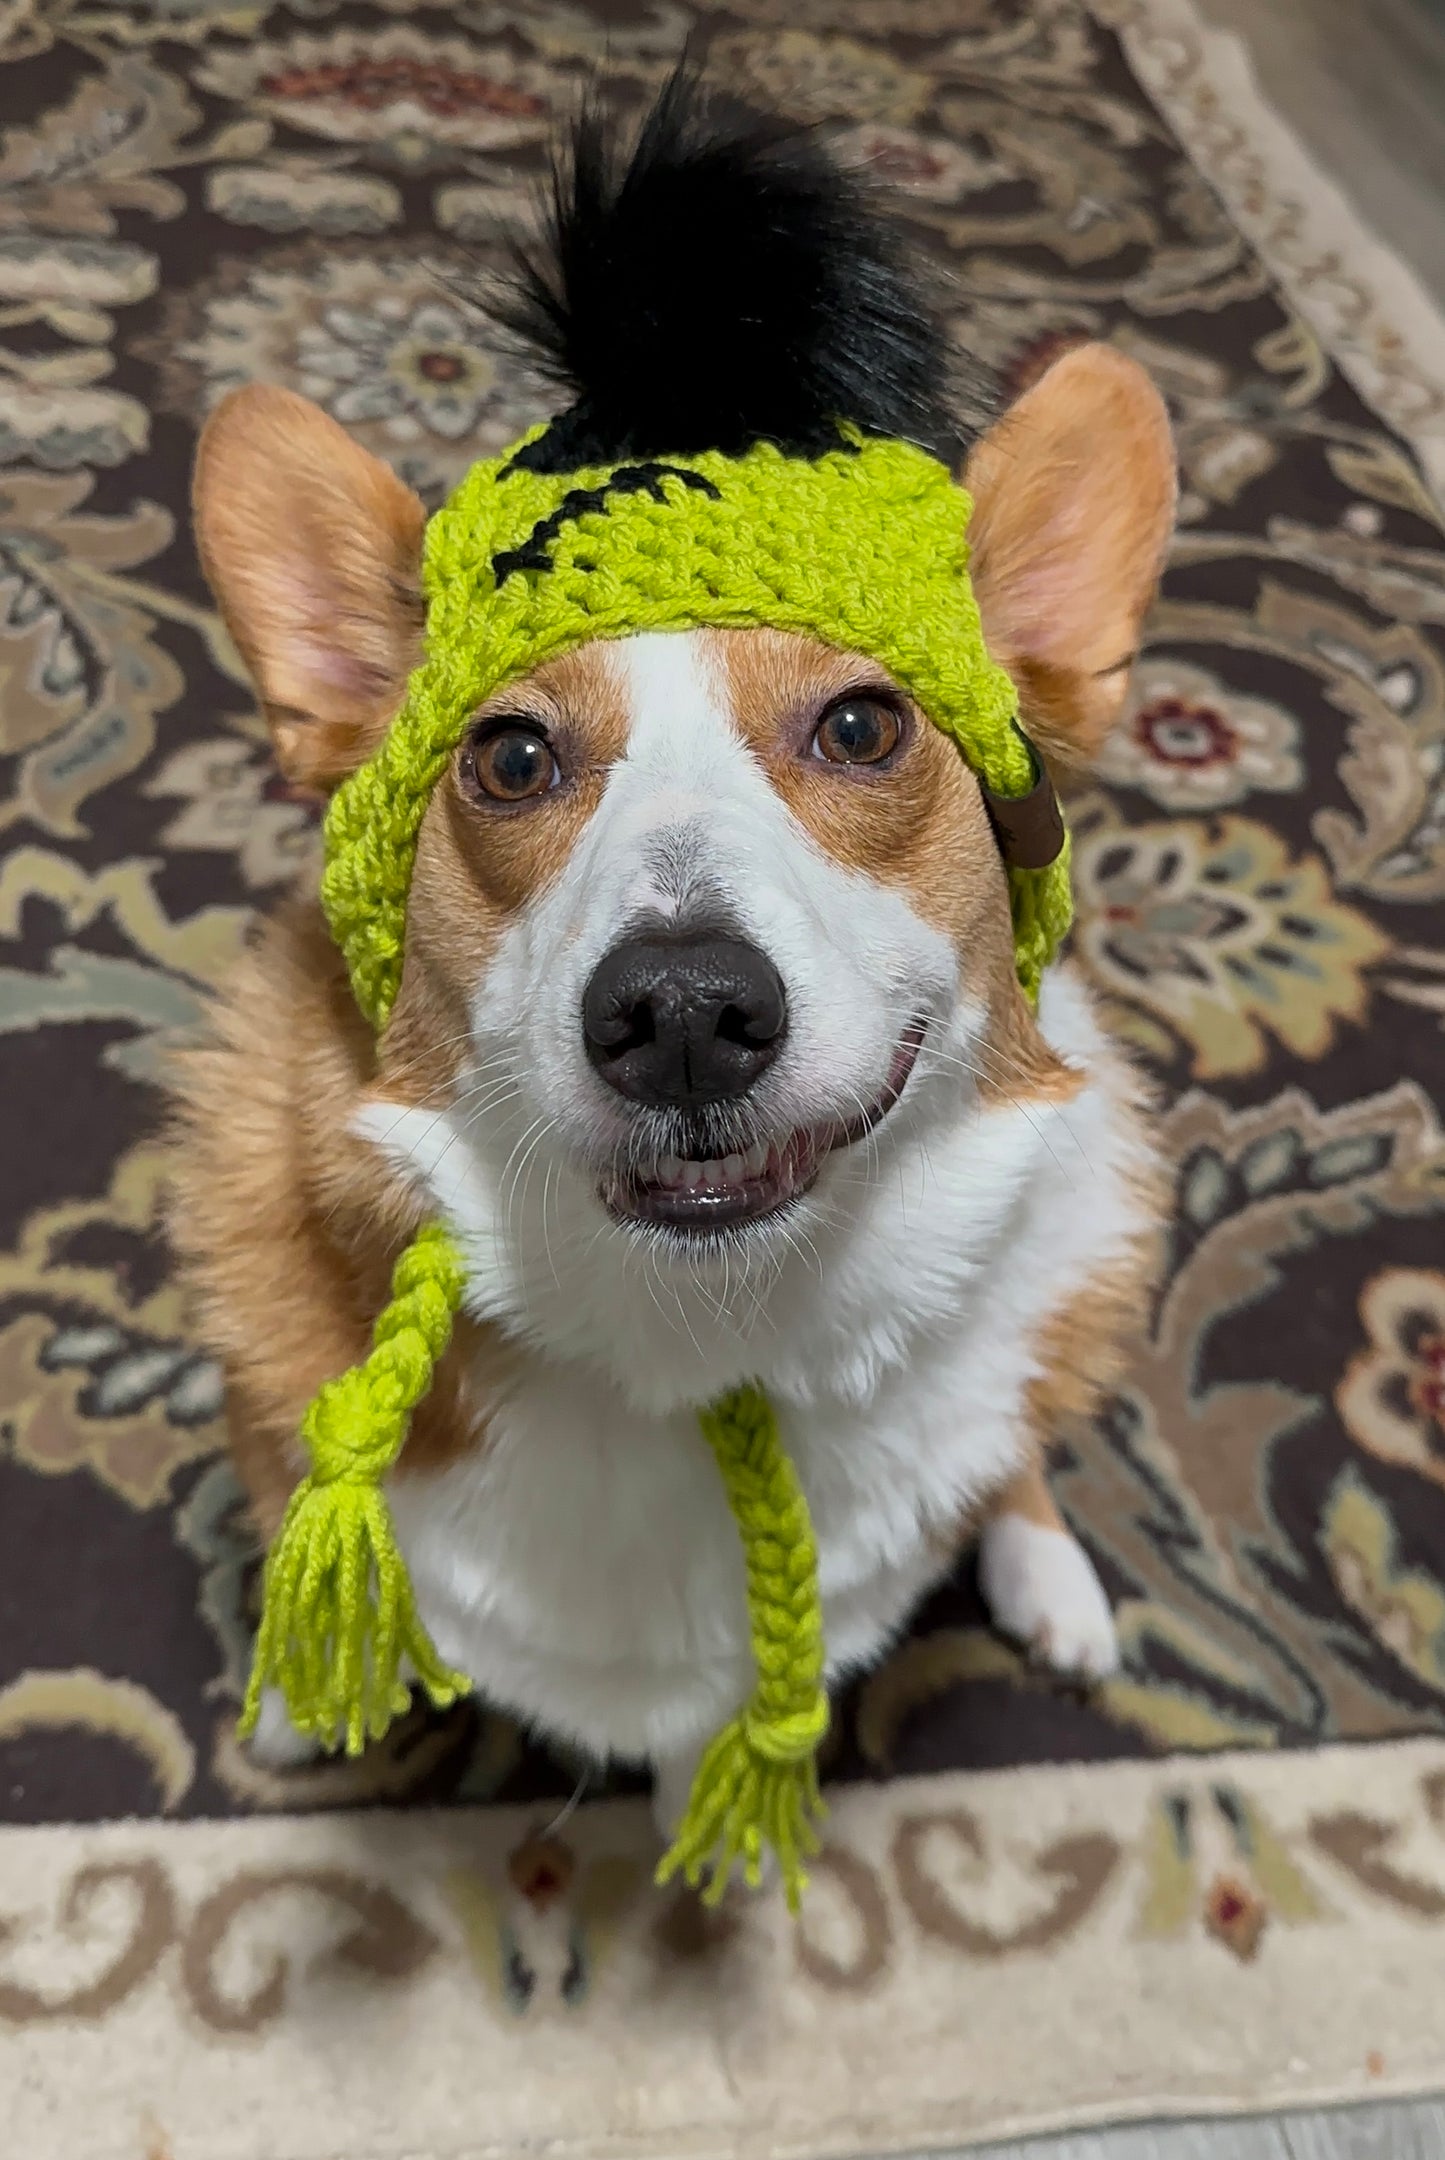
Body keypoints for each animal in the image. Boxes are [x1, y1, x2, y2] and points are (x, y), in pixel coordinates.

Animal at [174, 71, 1175, 1840]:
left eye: (863, 727)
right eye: (509, 760)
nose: (689, 1012)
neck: (696, 1338)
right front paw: (295, 1705)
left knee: (1020, 1441)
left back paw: (1049, 1580)